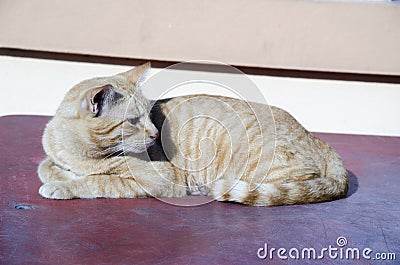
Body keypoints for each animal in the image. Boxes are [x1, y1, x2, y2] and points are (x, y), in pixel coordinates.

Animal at [39, 62, 348, 206]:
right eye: (134, 120)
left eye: (149, 115)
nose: (156, 135)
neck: (84, 153)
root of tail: (316, 137)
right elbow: (47, 166)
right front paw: (61, 175)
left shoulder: (158, 181)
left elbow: (100, 181)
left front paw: (64, 185)